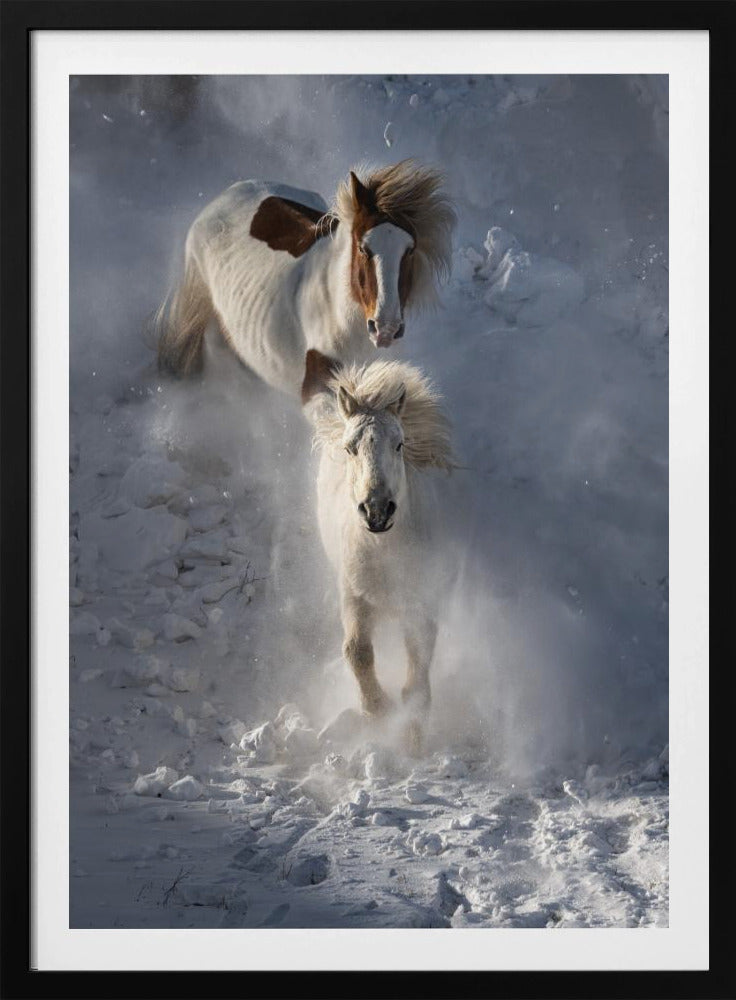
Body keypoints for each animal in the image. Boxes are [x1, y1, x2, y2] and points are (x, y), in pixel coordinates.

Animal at [155, 160, 455, 398]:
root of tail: (227, 194)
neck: (340, 318)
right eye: (363, 248)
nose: (385, 328)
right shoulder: (321, 391)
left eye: (411, 250)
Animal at [304, 349, 454, 753]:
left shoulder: (420, 602)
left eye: (398, 444)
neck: (386, 554)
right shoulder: (354, 596)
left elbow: (418, 659)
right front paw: (378, 709)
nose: (377, 511)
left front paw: (413, 734)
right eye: (350, 447)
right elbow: (357, 651)